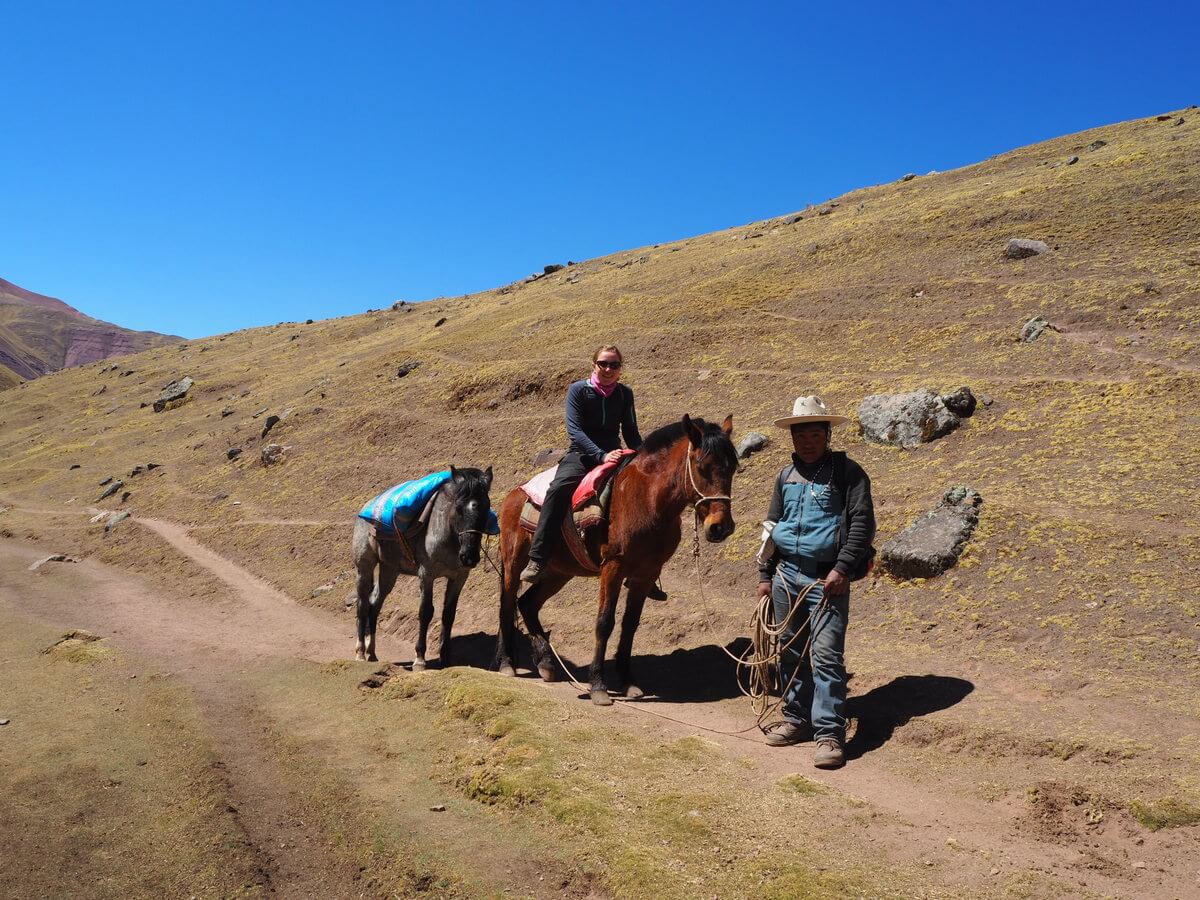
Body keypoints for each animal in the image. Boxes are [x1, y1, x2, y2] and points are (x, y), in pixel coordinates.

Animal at [350, 468, 492, 667]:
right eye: (458, 507)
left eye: (487, 507)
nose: (469, 556)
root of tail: (365, 510)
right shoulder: (427, 574)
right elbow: (425, 611)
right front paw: (419, 658)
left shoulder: (459, 577)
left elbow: (448, 615)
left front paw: (445, 658)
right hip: (364, 567)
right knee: (362, 605)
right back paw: (361, 653)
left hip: (389, 570)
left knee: (374, 604)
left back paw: (372, 653)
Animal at [496, 415, 739, 705]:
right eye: (702, 467)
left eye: (733, 468)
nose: (720, 527)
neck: (648, 499)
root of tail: (514, 494)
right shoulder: (612, 568)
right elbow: (604, 623)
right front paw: (598, 685)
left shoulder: (645, 574)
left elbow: (630, 624)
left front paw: (628, 681)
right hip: (514, 562)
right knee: (508, 603)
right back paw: (507, 663)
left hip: (559, 572)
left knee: (528, 604)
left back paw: (545, 663)